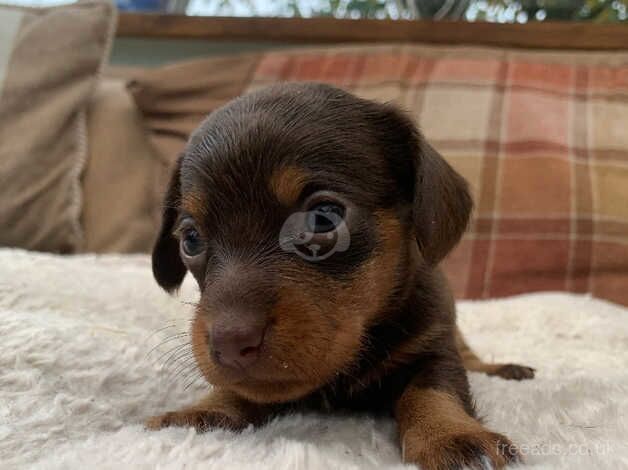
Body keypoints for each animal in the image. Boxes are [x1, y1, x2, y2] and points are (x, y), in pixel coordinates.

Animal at [148, 82, 536, 468]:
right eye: (191, 238)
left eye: (323, 218)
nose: (229, 345)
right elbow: (234, 389)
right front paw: (201, 412)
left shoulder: (434, 347)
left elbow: (434, 390)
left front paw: (451, 434)